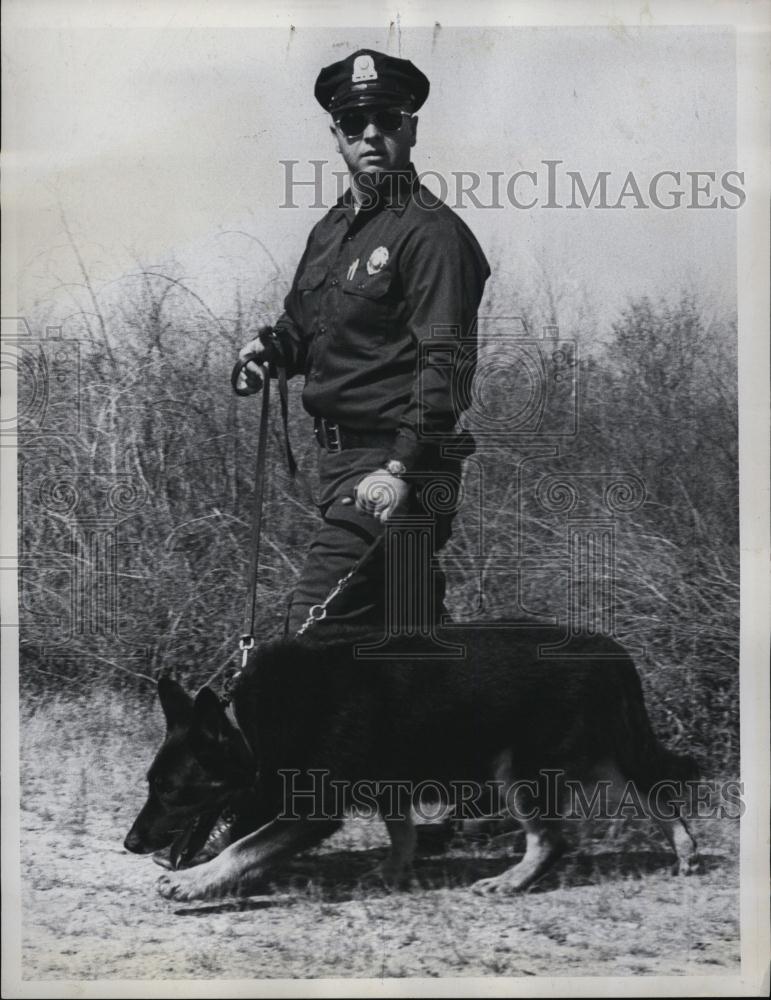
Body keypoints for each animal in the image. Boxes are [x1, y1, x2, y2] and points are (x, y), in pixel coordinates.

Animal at [125, 628, 700, 904]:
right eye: (151, 785)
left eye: (172, 791)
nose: (130, 843)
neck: (252, 733)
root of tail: (610, 652)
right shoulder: (388, 784)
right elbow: (402, 833)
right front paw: (391, 873)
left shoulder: (313, 812)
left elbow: (242, 847)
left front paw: (193, 882)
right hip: (601, 755)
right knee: (655, 792)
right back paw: (686, 852)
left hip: (518, 771)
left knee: (552, 839)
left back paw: (510, 882)